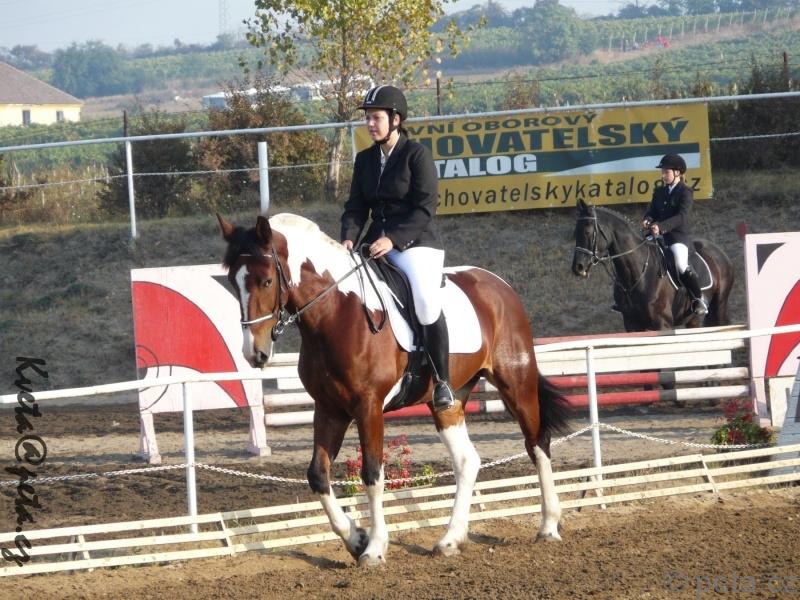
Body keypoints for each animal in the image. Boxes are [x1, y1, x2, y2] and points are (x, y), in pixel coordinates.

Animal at [217, 212, 571, 566]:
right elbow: (318, 474)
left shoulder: (368, 407)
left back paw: (548, 527)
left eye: (266, 281)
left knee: (537, 444)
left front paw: (374, 548)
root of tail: (498, 284)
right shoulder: (329, 409)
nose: (254, 353)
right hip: (449, 401)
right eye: (233, 283)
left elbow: (372, 475)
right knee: (467, 461)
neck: (336, 313)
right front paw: (355, 538)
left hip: (516, 383)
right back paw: (450, 540)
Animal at [571, 199, 734, 332]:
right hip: (693, 319)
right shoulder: (632, 324)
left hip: (719, 305)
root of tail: (718, 251)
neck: (637, 274)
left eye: (587, 232)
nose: (577, 267)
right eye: (575, 233)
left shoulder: (663, 324)